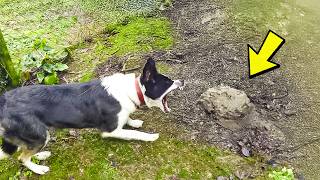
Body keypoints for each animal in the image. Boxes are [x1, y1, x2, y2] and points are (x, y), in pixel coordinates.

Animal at [0, 58, 184, 174]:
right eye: (167, 82)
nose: (181, 81)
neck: (132, 90)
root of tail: (4, 101)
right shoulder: (110, 131)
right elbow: (134, 133)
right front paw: (150, 136)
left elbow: (129, 122)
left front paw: (134, 121)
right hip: (37, 133)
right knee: (22, 157)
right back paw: (39, 169)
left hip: (35, 135)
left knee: (24, 150)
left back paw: (40, 155)